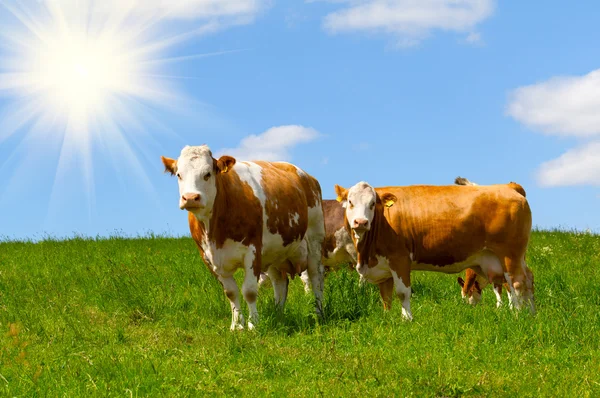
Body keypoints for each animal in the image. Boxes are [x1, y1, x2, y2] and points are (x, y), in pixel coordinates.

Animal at [162, 145, 326, 330]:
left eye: (207, 174)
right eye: (179, 174)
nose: (190, 198)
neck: (215, 233)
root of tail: (305, 175)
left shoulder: (252, 251)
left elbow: (249, 291)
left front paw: (253, 324)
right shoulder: (209, 258)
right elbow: (231, 292)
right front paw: (237, 326)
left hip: (314, 239)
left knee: (316, 277)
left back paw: (319, 314)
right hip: (276, 252)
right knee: (280, 283)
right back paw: (278, 316)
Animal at [336, 181, 536, 320]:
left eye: (372, 204)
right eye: (350, 202)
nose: (361, 222)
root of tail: (508, 186)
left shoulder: (399, 258)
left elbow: (402, 292)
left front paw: (407, 320)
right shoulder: (383, 266)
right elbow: (386, 297)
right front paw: (388, 319)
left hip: (509, 255)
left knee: (517, 283)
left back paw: (518, 316)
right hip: (510, 258)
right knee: (528, 279)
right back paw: (532, 313)